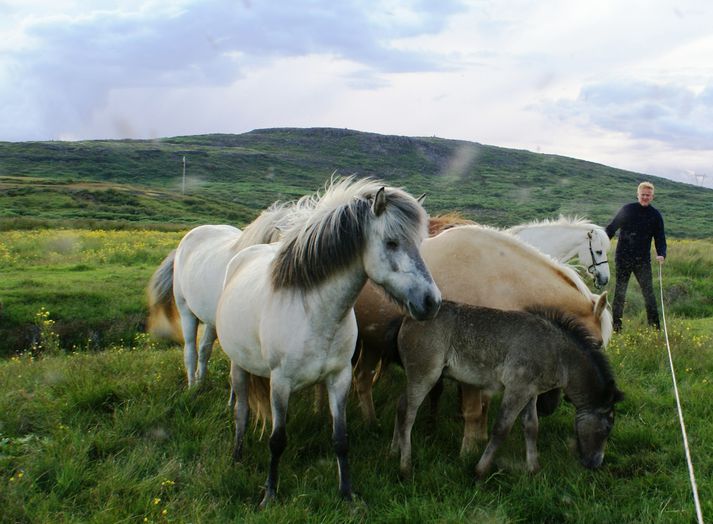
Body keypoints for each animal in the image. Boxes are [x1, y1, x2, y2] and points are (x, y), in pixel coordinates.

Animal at [147, 203, 298, 386]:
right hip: (185, 310)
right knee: (190, 349)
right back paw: (192, 386)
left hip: (211, 320)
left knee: (204, 348)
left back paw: (200, 381)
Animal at [217, 177, 440, 508]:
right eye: (391, 243)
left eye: (420, 243)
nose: (431, 302)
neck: (315, 314)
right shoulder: (280, 382)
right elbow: (277, 440)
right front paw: (270, 494)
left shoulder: (339, 378)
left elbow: (341, 439)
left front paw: (347, 495)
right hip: (239, 367)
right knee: (242, 411)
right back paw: (236, 457)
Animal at [354, 225, 608, 454]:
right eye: (593, 345)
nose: (549, 408)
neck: (499, 280)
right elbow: (474, 411)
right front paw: (467, 452)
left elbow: (483, 408)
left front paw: (479, 438)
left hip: (371, 342)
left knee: (363, 379)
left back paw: (371, 423)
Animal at [390, 300, 624, 482]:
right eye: (608, 426)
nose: (595, 463)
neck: (558, 354)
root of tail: (407, 319)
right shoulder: (516, 389)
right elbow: (501, 429)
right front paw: (480, 471)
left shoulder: (530, 393)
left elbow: (531, 427)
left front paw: (533, 469)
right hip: (425, 375)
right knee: (407, 412)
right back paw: (405, 467)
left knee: (400, 406)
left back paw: (393, 450)